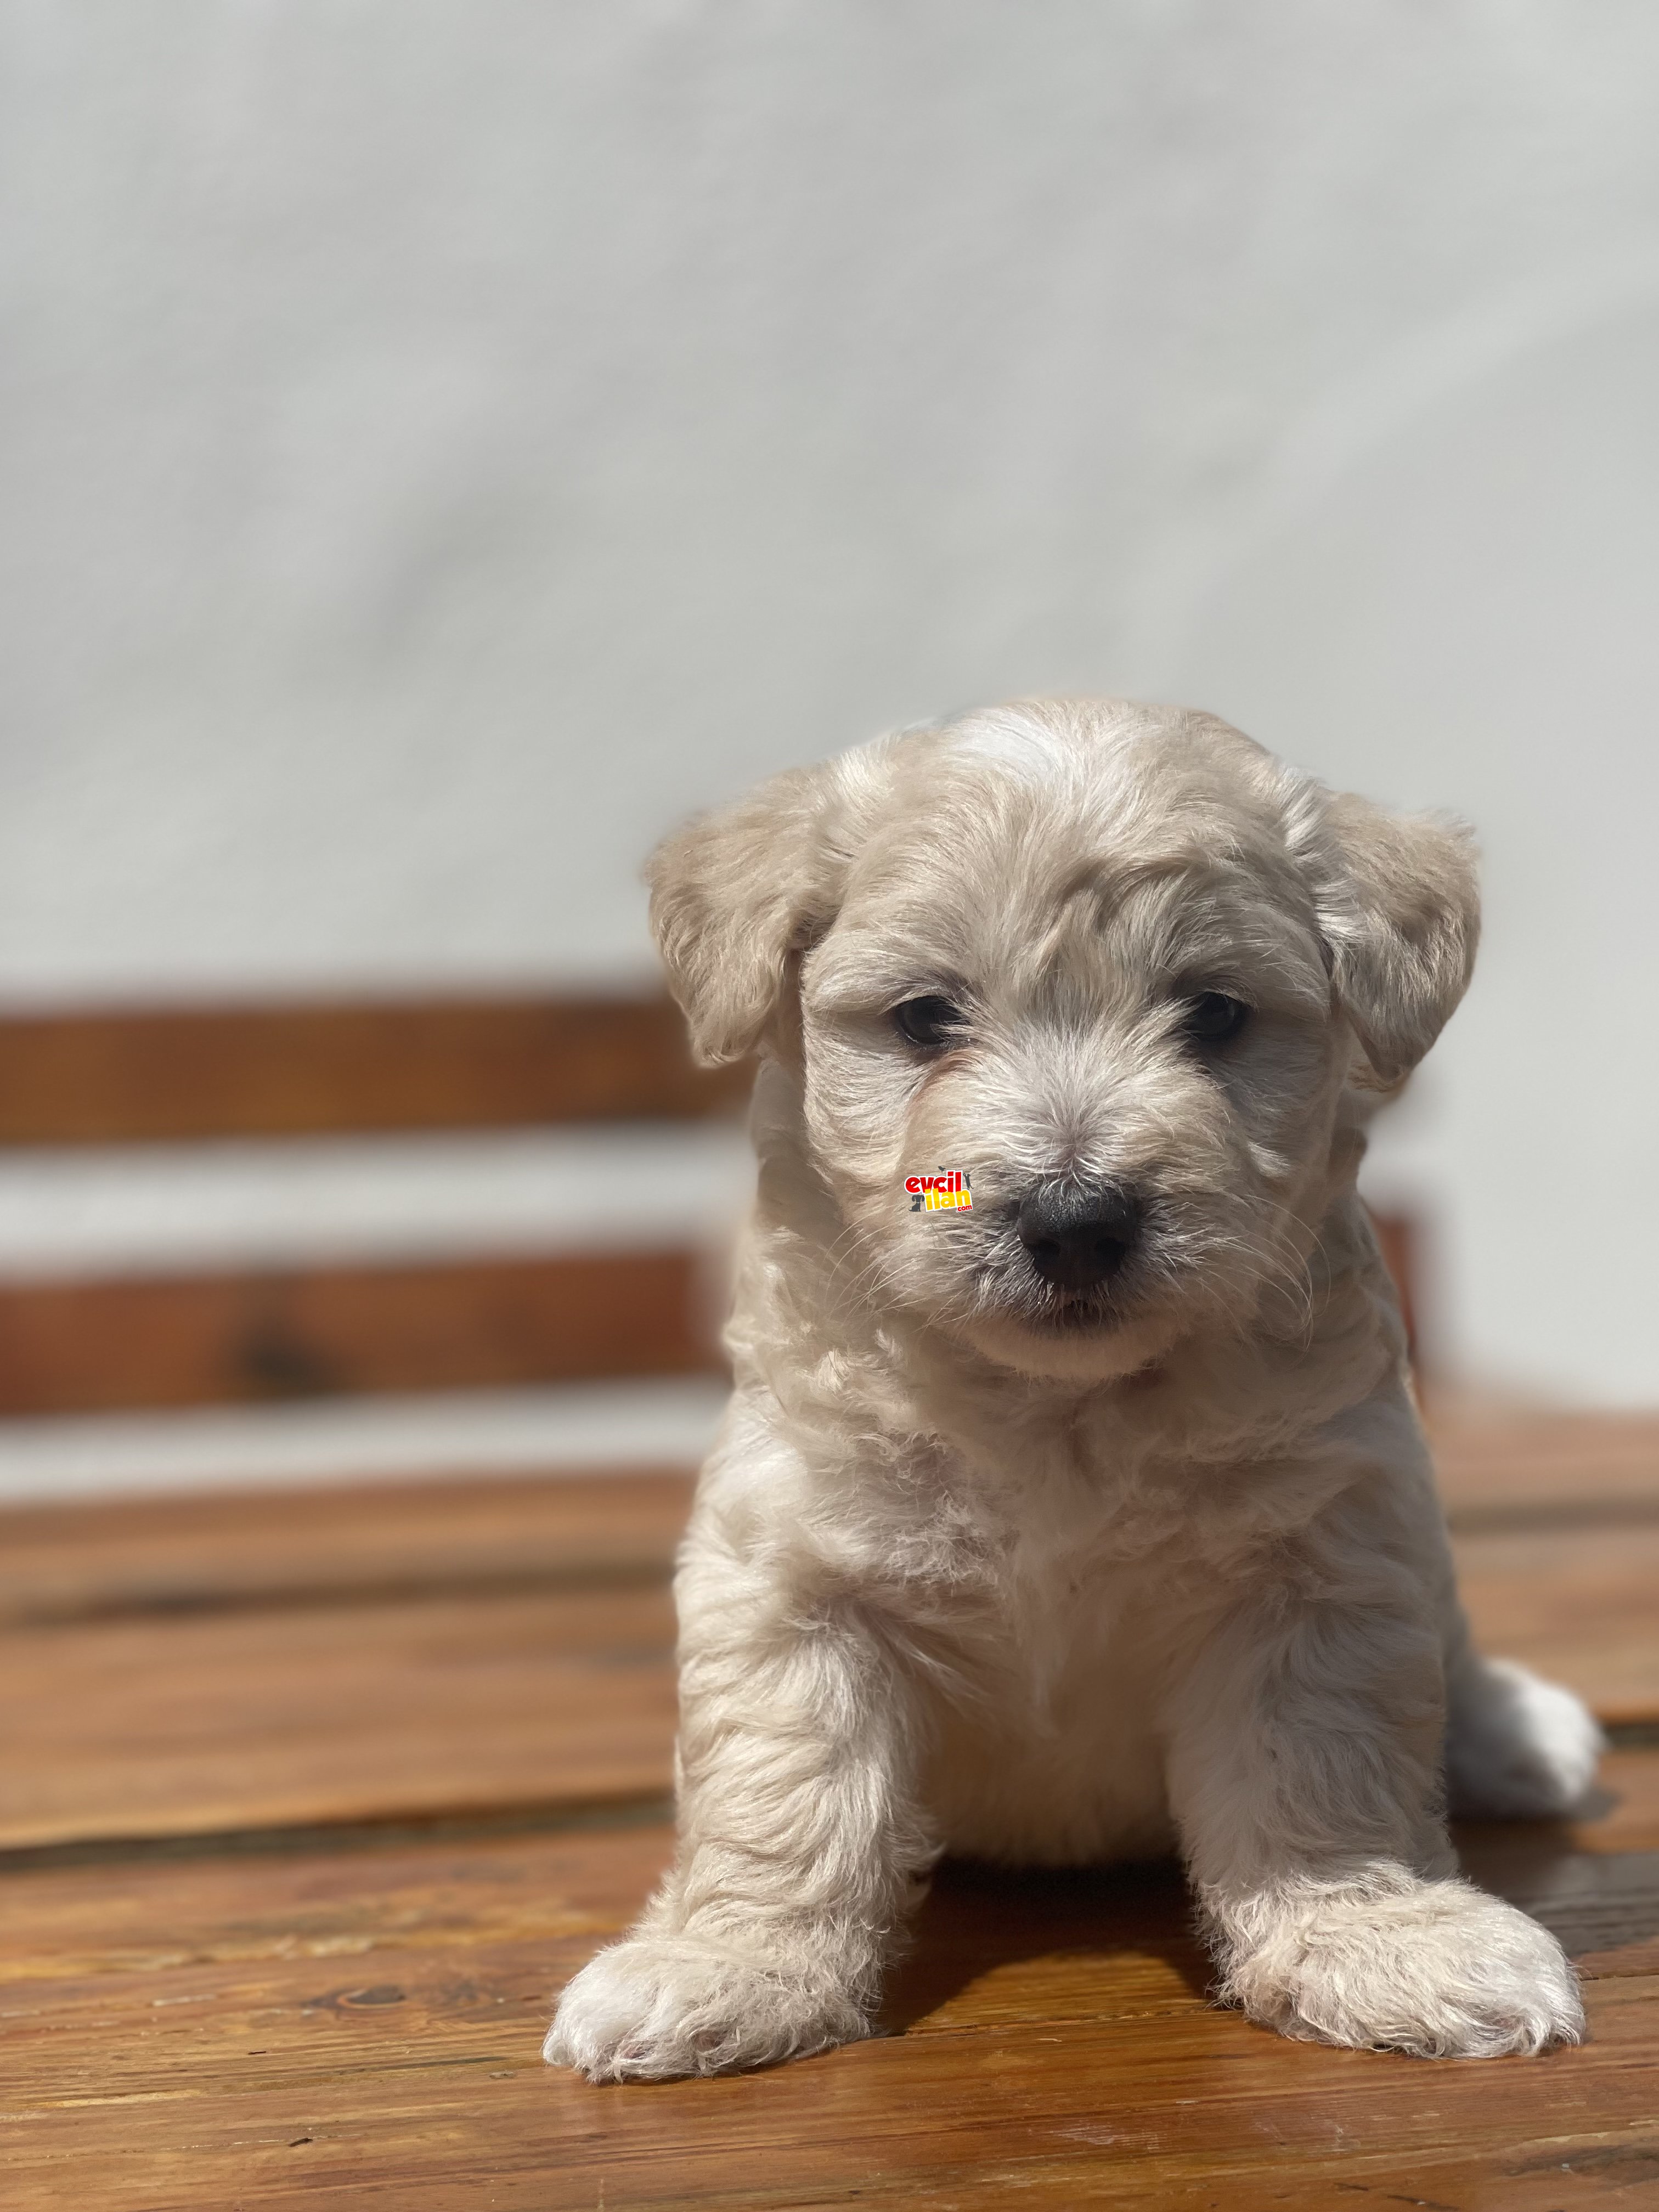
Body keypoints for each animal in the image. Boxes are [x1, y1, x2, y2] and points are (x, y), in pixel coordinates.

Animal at [553, 699, 1601, 2079]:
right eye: (925, 1018)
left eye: (1214, 1015)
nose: (1075, 1220)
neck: (1061, 1415)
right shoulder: (794, 1577)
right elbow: (784, 1788)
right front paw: (731, 1966)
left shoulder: (1320, 1565)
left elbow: (1325, 1772)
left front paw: (1380, 1942)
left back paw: (1513, 1733)